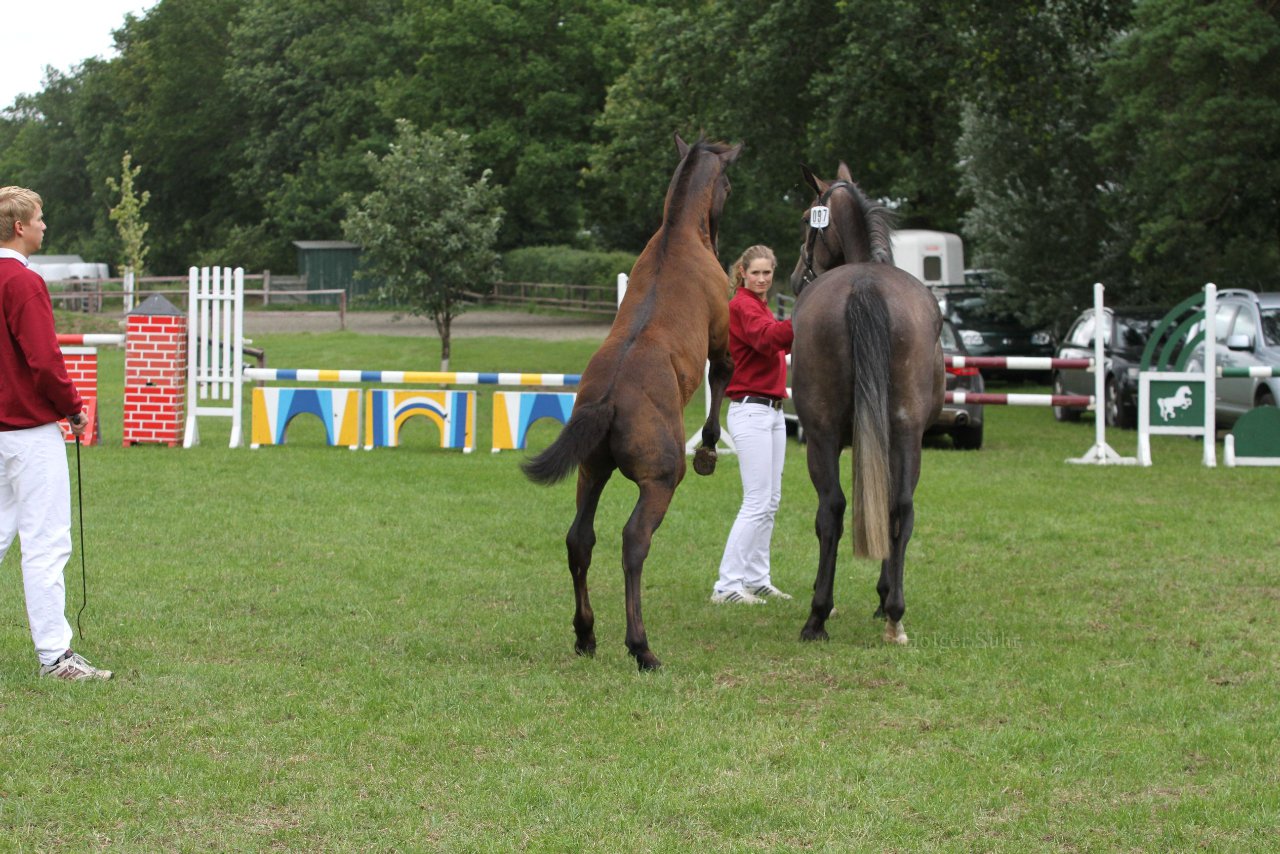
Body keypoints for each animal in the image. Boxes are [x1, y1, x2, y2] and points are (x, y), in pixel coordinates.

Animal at [519, 133, 742, 670]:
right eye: (727, 184)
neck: (677, 235)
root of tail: (609, 400)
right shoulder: (721, 341)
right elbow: (722, 379)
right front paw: (708, 450)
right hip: (659, 480)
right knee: (633, 542)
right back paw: (640, 646)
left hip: (591, 471)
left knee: (580, 540)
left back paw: (586, 633)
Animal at [783, 165, 947, 647]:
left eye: (806, 218)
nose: (795, 277)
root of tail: (865, 286)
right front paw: (883, 595)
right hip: (905, 433)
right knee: (900, 509)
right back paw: (893, 615)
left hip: (821, 435)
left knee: (832, 511)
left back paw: (820, 615)